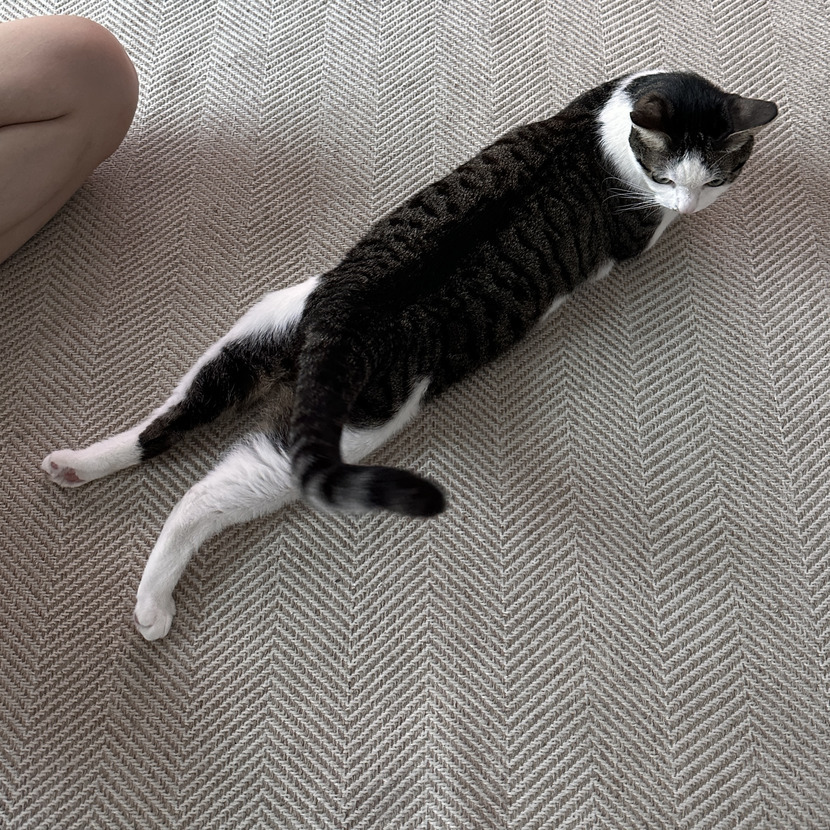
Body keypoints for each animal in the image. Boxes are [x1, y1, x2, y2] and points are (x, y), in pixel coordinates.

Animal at [42, 70, 777, 640]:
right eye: (671, 176)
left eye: (713, 175)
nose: (691, 201)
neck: (608, 126)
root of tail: (338, 323)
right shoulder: (640, 229)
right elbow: (652, 228)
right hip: (351, 428)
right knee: (201, 497)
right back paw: (153, 606)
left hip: (261, 323)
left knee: (171, 417)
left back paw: (77, 465)